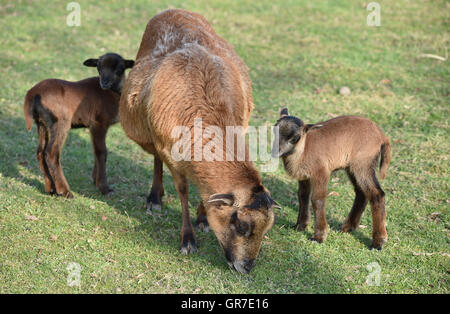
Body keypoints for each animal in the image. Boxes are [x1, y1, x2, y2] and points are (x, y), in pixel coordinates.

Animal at [23, 52, 134, 197]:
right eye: (99, 67)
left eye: (120, 68)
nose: (104, 82)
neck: (112, 93)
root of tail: (32, 94)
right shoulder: (99, 123)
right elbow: (101, 152)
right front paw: (104, 187)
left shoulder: (94, 126)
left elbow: (95, 151)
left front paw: (95, 179)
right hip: (60, 122)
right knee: (51, 153)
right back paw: (65, 191)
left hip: (42, 123)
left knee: (40, 153)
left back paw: (51, 189)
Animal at [119, 9, 278, 272]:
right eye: (242, 226)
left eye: (267, 229)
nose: (247, 267)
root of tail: (174, 10)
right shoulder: (170, 152)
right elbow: (183, 191)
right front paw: (188, 240)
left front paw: (203, 219)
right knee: (156, 159)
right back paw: (155, 198)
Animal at [270, 108, 390, 250]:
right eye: (274, 130)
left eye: (294, 138)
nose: (275, 152)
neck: (303, 150)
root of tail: (382, 136)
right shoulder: (304, 176)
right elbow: (302, 196)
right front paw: (300, 226)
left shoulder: (321, 172)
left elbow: (317, 199)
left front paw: (319, 237)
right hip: (352, 167)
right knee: (362, 193)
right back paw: (347, 228)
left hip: (363, 164)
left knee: (377, 194)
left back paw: (378, 242)